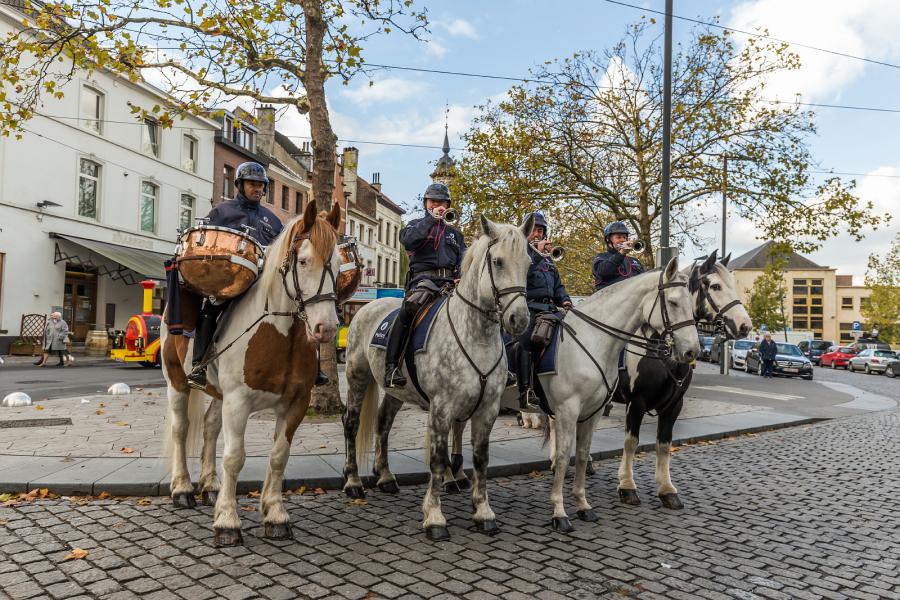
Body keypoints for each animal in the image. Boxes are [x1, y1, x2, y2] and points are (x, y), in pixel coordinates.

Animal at [160, 204, 346, 548]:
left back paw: (210, 486)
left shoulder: (295, 404)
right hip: (176, 382)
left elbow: (278, 456)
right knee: (181, 429)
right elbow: (234, 457)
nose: (326, 328)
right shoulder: (239, 402)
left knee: (210, 427)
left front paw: (275, 514)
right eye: (303, 261)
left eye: (340, 266)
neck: (279, 334)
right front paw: (227, 521)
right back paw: (182, 489)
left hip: (219, 394)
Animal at [342, 214, 532, 540]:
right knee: (351, 423)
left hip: (396, 391)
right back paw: (353, 482)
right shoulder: (442, 408)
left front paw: (483, 511)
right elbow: (438, 458)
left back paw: (386, 476)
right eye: (497, 261)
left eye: (529, 263)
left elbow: (480, 458)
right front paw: (434, 516)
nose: (518, 319)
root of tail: (367, 308)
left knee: (383, 424)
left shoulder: (487, 409)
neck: (476, 336)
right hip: (357, 377)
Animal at [536, 256, 700, 528]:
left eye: (693, 305)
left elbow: (584, 453)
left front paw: (583, 505)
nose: (692, 351)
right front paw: (560, 512)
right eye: (674, 302)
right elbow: (568, 454)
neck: (592, 340)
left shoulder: (598, 410)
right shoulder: (578, 407)